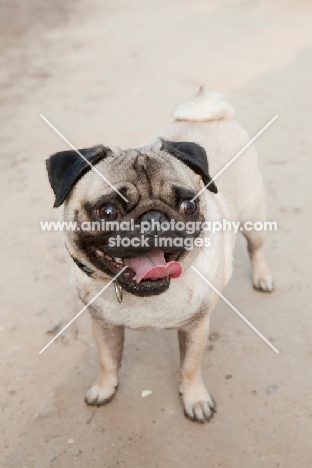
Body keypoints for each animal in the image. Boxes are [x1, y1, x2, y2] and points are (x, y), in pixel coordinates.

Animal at [45, 91, 272, 424]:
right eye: (107, 211)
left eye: (189, 205)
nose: (154, 219)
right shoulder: (103, 325)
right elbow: (107, 360)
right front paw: (104, 388)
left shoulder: (195, 328)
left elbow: (189, 367)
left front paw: (195, 400)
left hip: (254, 218)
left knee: (256, 247)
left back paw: (262, 277)